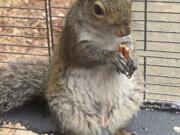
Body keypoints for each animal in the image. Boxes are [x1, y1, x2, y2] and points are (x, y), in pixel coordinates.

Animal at [0, 0, 143, 135]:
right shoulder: (73, 38)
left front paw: (133, 59)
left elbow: (129, 45)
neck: (105, 34)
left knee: (115, 127)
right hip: (66, 111)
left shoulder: (124, 41)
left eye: (130, 2)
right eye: (97, 10)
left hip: (128, 104)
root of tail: (102, 122)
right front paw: (112, 57)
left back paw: (122, 131)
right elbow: (84, 54)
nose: (126, 30)